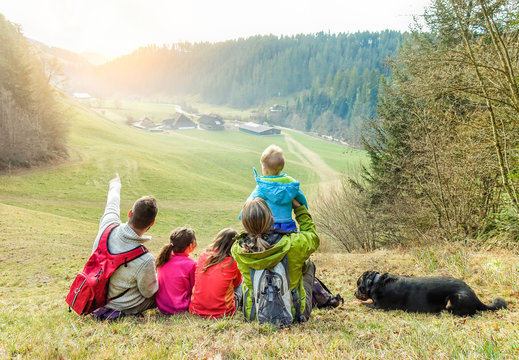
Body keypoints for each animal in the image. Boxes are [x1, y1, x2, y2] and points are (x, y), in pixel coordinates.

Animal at [356, 272, 506, 316]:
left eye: (358, 285)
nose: (354, 293)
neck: (375, 281)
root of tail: (475, 296)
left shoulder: (379, 306)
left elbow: (365, 302)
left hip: (454, 299)